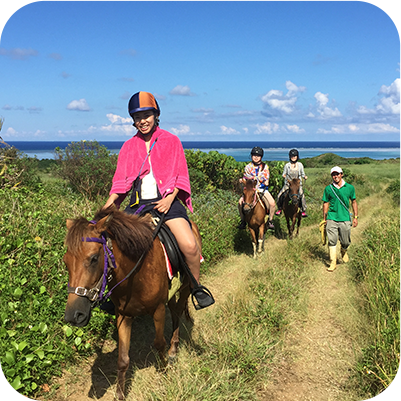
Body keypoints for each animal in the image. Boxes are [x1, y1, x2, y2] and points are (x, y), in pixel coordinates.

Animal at [63, 208, 199, 398]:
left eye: (94, 258)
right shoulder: (123, 315)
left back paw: (173, 350)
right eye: (65, 261)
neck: (136, 274)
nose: (74, 315)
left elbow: (159, 343)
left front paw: (164, 372)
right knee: (174, 310)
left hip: (186, 285)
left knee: (178, 312)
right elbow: (122, 359)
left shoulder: (158, 310)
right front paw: (120, 394)